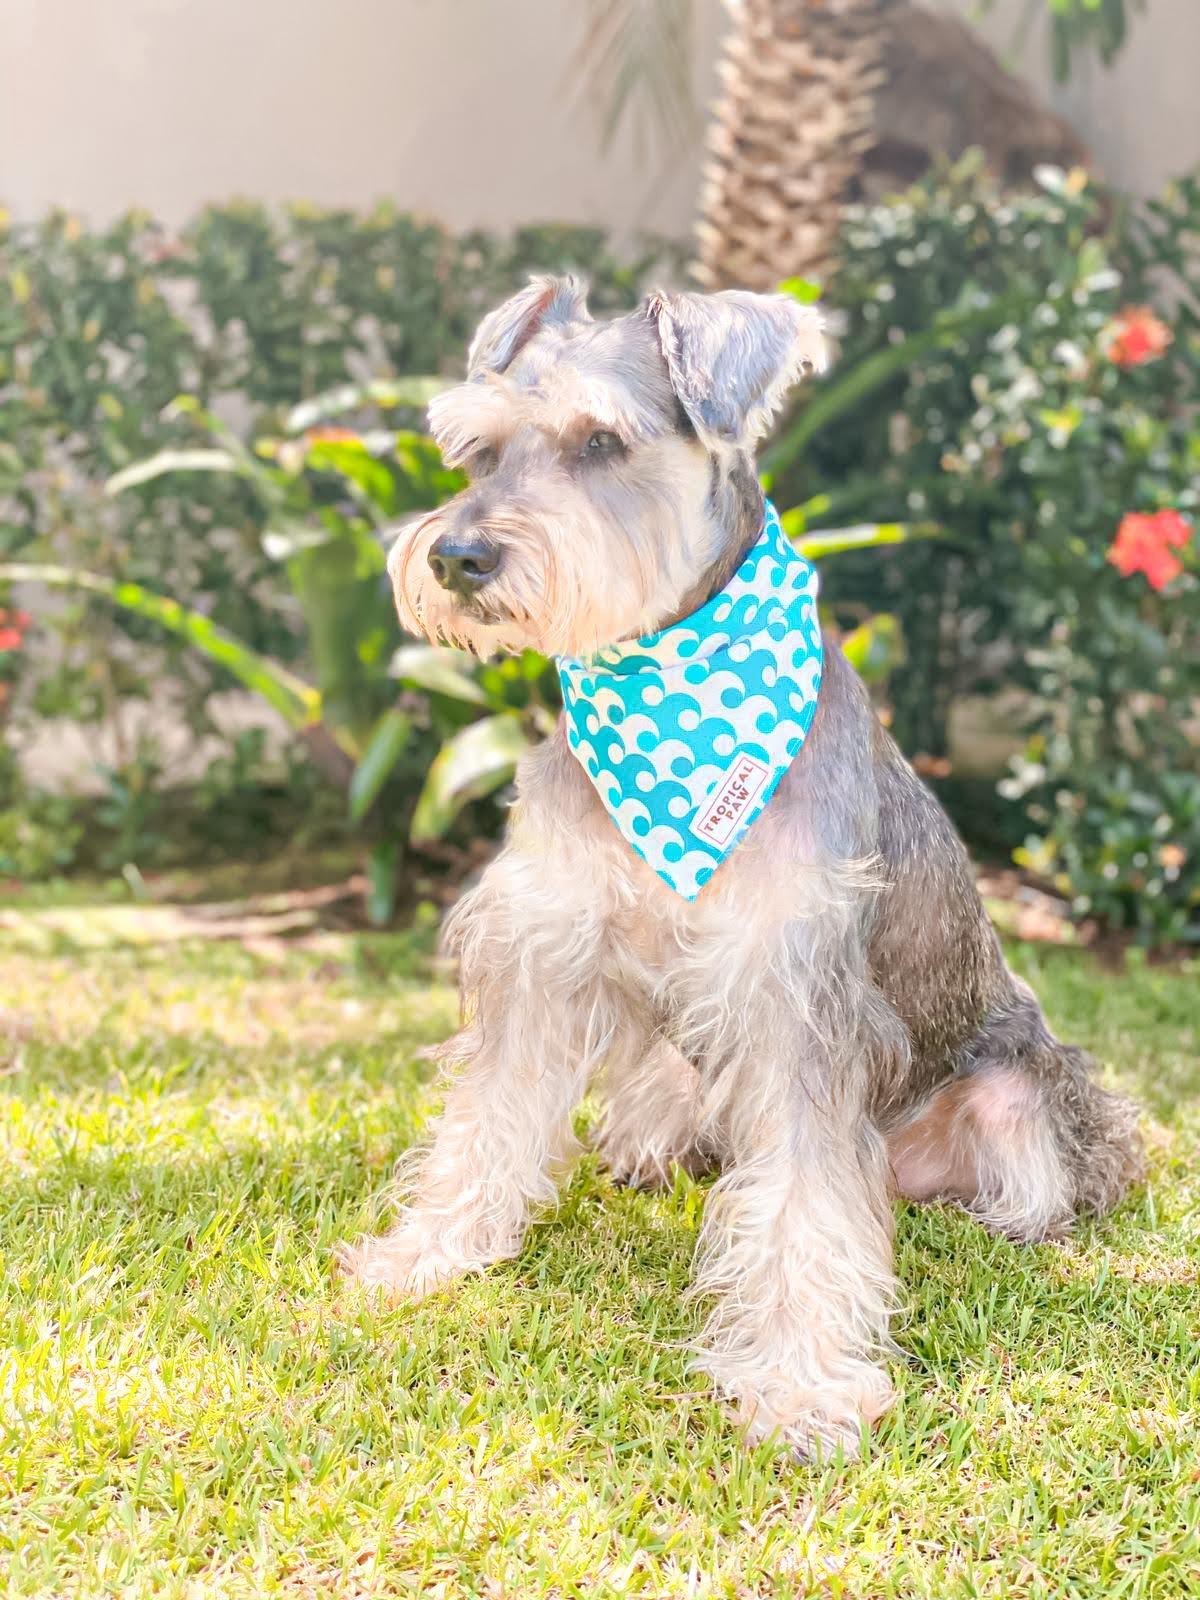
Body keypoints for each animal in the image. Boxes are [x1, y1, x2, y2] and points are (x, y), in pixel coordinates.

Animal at [345, 278, 1145, 1465]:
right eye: (478, 452)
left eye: (601, 441)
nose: (458, 557)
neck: (660, 678)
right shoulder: (542, 944)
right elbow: (488, 1115)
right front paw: (429, 1249)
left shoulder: (797, 993)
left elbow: (807, 1199)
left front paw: (800, 1385)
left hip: (1019, 1106)